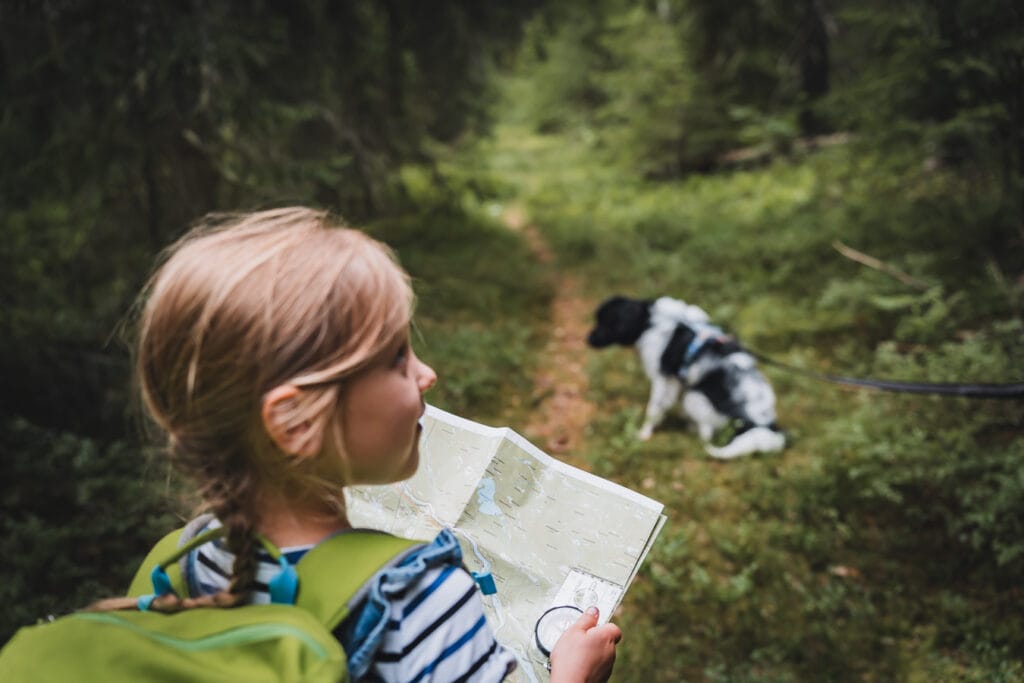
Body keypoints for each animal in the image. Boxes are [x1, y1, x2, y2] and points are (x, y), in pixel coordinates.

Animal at [585, 294, 782, 458]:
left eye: (605, 324)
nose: (588, 339)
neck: (653, 319)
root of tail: (763, 421)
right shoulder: (676, 379)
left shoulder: (663, 378)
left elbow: (654, 409)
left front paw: (644, 433)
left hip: (693, 398)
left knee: (706, 434)